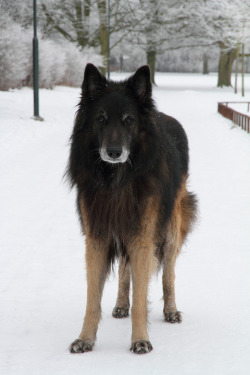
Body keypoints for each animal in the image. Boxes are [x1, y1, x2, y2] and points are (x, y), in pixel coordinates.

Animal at [67, 64, 197, 356]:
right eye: (101, 119)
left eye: (128, 120)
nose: (114, 152)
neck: (116, 180)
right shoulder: (98, 238)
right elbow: (92, 300)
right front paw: (85, 338)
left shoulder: (142, 238)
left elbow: (141, 297)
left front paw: (140, 339)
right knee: (125, 272)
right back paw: (120, 304)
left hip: (170, 231)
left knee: (168, 274)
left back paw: (171, 310)